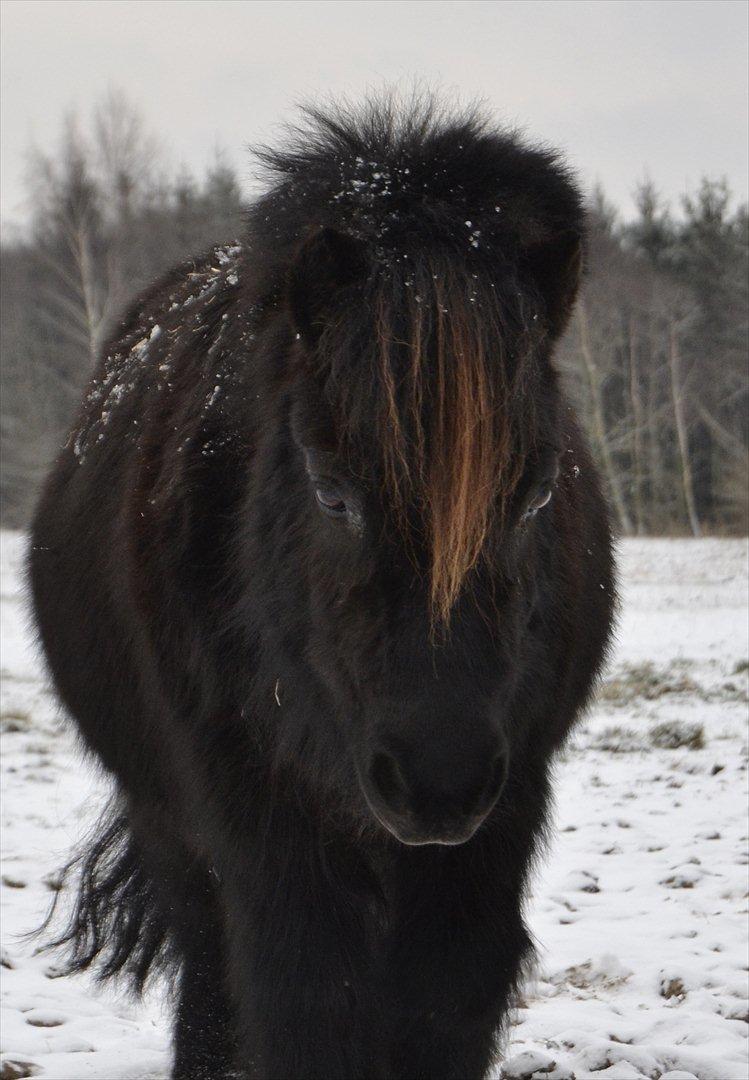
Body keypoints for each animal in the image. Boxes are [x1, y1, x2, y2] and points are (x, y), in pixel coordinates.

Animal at [29, 97, 617, 1075]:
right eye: (331, 492)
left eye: (536, 493)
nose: (436, 782)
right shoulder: (266, 839)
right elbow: (302, 1011)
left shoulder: (487, 844)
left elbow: (439, 1011)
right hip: (176, 830)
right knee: (210, 981)